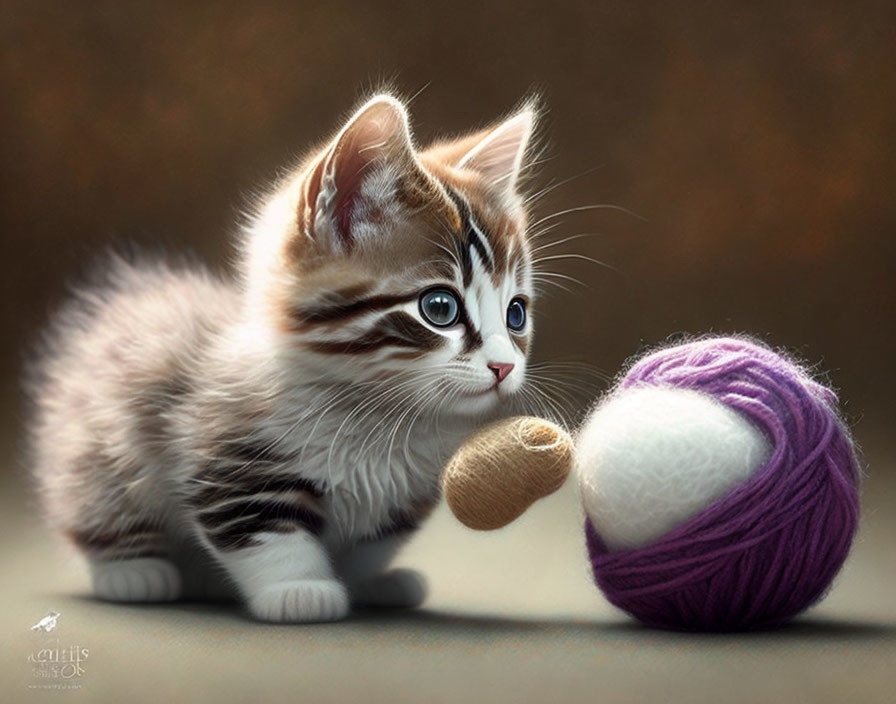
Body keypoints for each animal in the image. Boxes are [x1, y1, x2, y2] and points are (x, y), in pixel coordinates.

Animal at [24, 93, 536, 620]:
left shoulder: (402, 502)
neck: (375, 414)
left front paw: (366, 583)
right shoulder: (227, 462)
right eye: (439, 308)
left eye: (516, 314)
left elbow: (368, 548)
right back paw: (133, 572)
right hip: (99, 449)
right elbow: (268, 535)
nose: (504, 367)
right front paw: (300, 590)